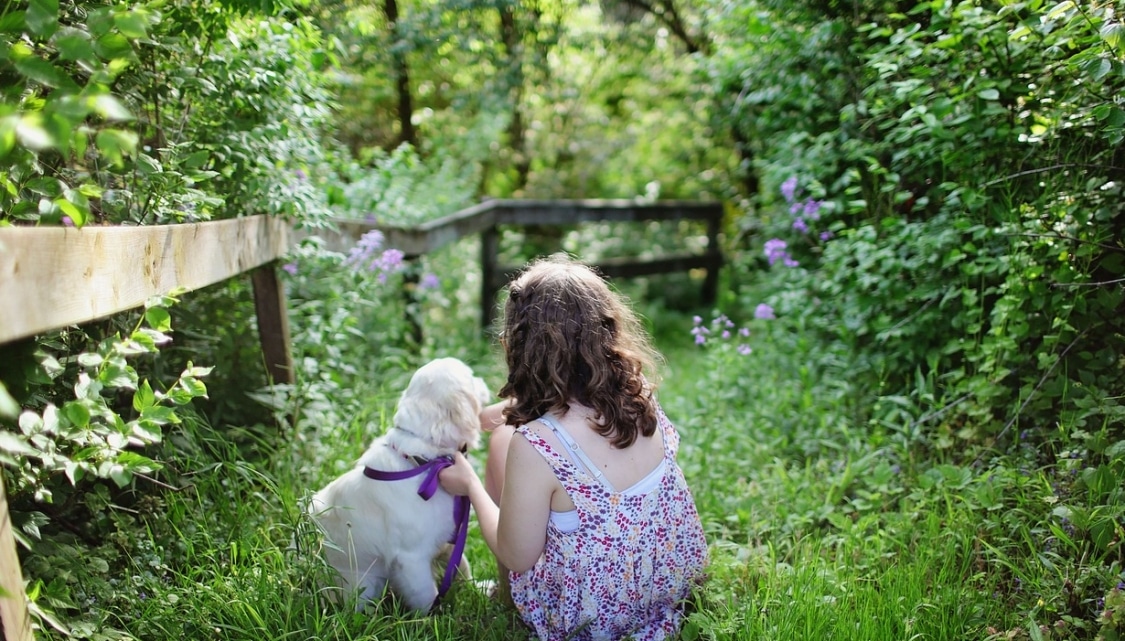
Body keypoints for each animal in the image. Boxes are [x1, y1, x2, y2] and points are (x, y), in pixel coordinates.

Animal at [308, 355, 488, 607]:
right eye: (471, 377)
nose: (483, 380)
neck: (424, 462)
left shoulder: (448, 537)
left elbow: (462, 566)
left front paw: (479, 589)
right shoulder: (411, 559)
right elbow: (427, 595)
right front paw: (435, 615)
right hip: (363, 585)